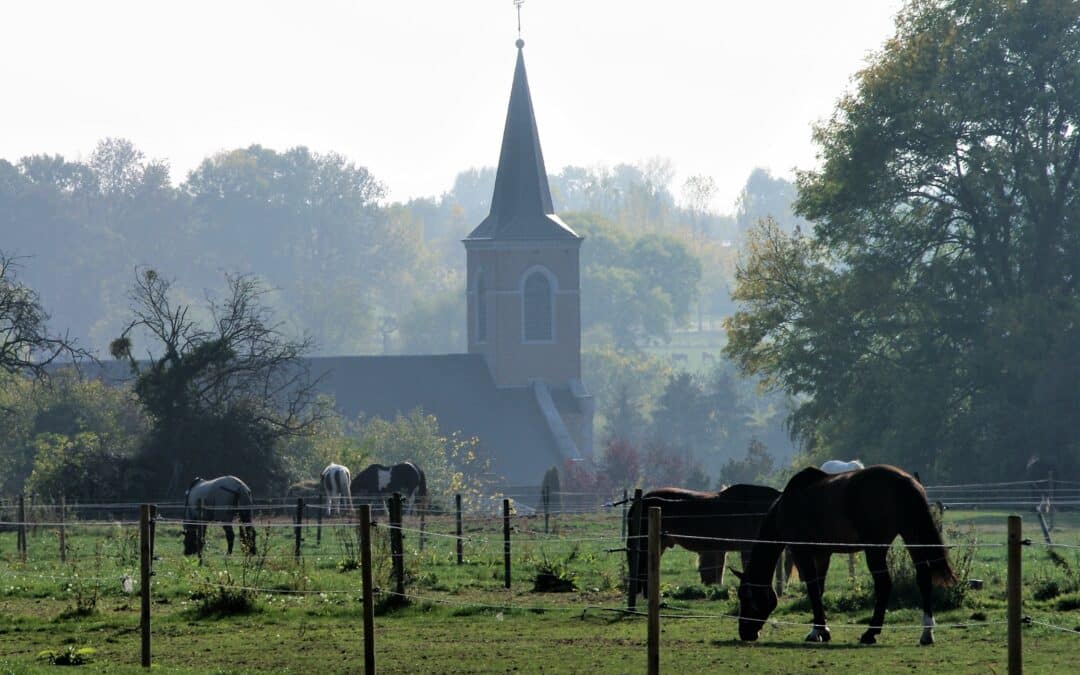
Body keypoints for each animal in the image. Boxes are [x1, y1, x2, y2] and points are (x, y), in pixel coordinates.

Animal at [734, 466, 954, 643]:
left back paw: (870, 633)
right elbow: (819, 589)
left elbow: (812, 589)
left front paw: (817, 632)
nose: (745, 633)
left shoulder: (802, 552)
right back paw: (926, 632)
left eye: (745, 597)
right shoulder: (822, 554)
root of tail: (906, 482)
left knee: (884, 584)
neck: (787, 504)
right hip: (912, 537)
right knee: (923, 578)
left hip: (875, 549)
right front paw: (820, 630)